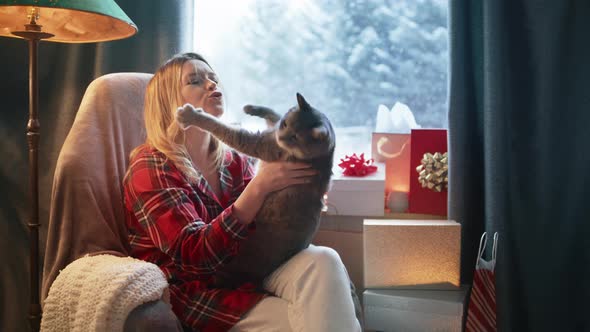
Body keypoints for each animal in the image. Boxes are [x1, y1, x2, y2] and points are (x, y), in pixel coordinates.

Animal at [176, 93, 336, 286]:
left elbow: (221, 127)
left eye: (296, 137)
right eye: (285, 124)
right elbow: (272, 114)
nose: (282, 136)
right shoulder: (272, 130)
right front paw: (250, 108)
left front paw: (190, 115)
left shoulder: (259, 143)